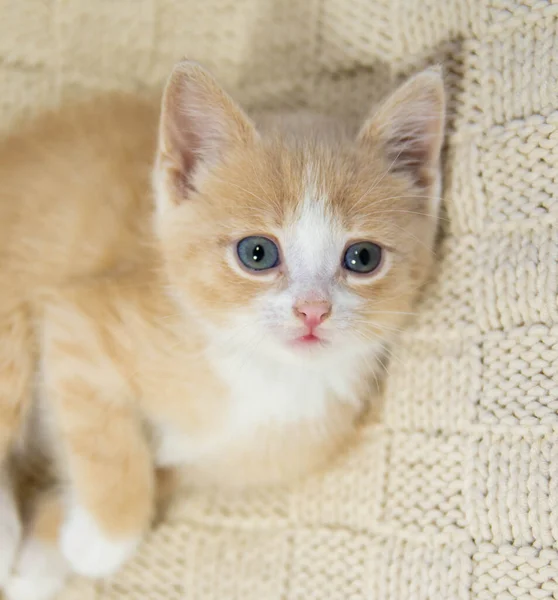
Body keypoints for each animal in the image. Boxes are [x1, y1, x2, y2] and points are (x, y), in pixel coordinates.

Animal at [0, 58, 446, 596]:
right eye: (257, 253)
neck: (261, 373)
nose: (312, 310)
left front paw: (45, 557)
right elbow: (109, 443)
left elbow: (141, 469)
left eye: (363, 257)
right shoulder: (79, 320)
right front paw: (104, 538)